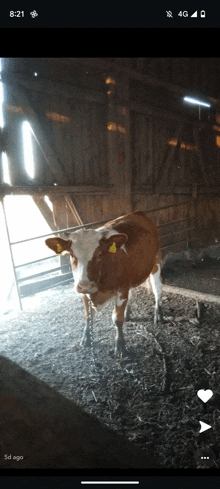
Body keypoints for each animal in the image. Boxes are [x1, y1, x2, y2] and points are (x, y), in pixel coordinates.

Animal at [45, 210, 162, 354]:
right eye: (72, 255)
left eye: (99, 254)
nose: (85, 285)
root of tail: (138, 213)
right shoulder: (83, 293)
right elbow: (88, 316)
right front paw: (86, 338)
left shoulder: (122, 289)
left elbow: (117, 319)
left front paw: (120, 345)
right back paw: (128, 312)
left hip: (156, 260)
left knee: (157, 288)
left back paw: (158, 313)